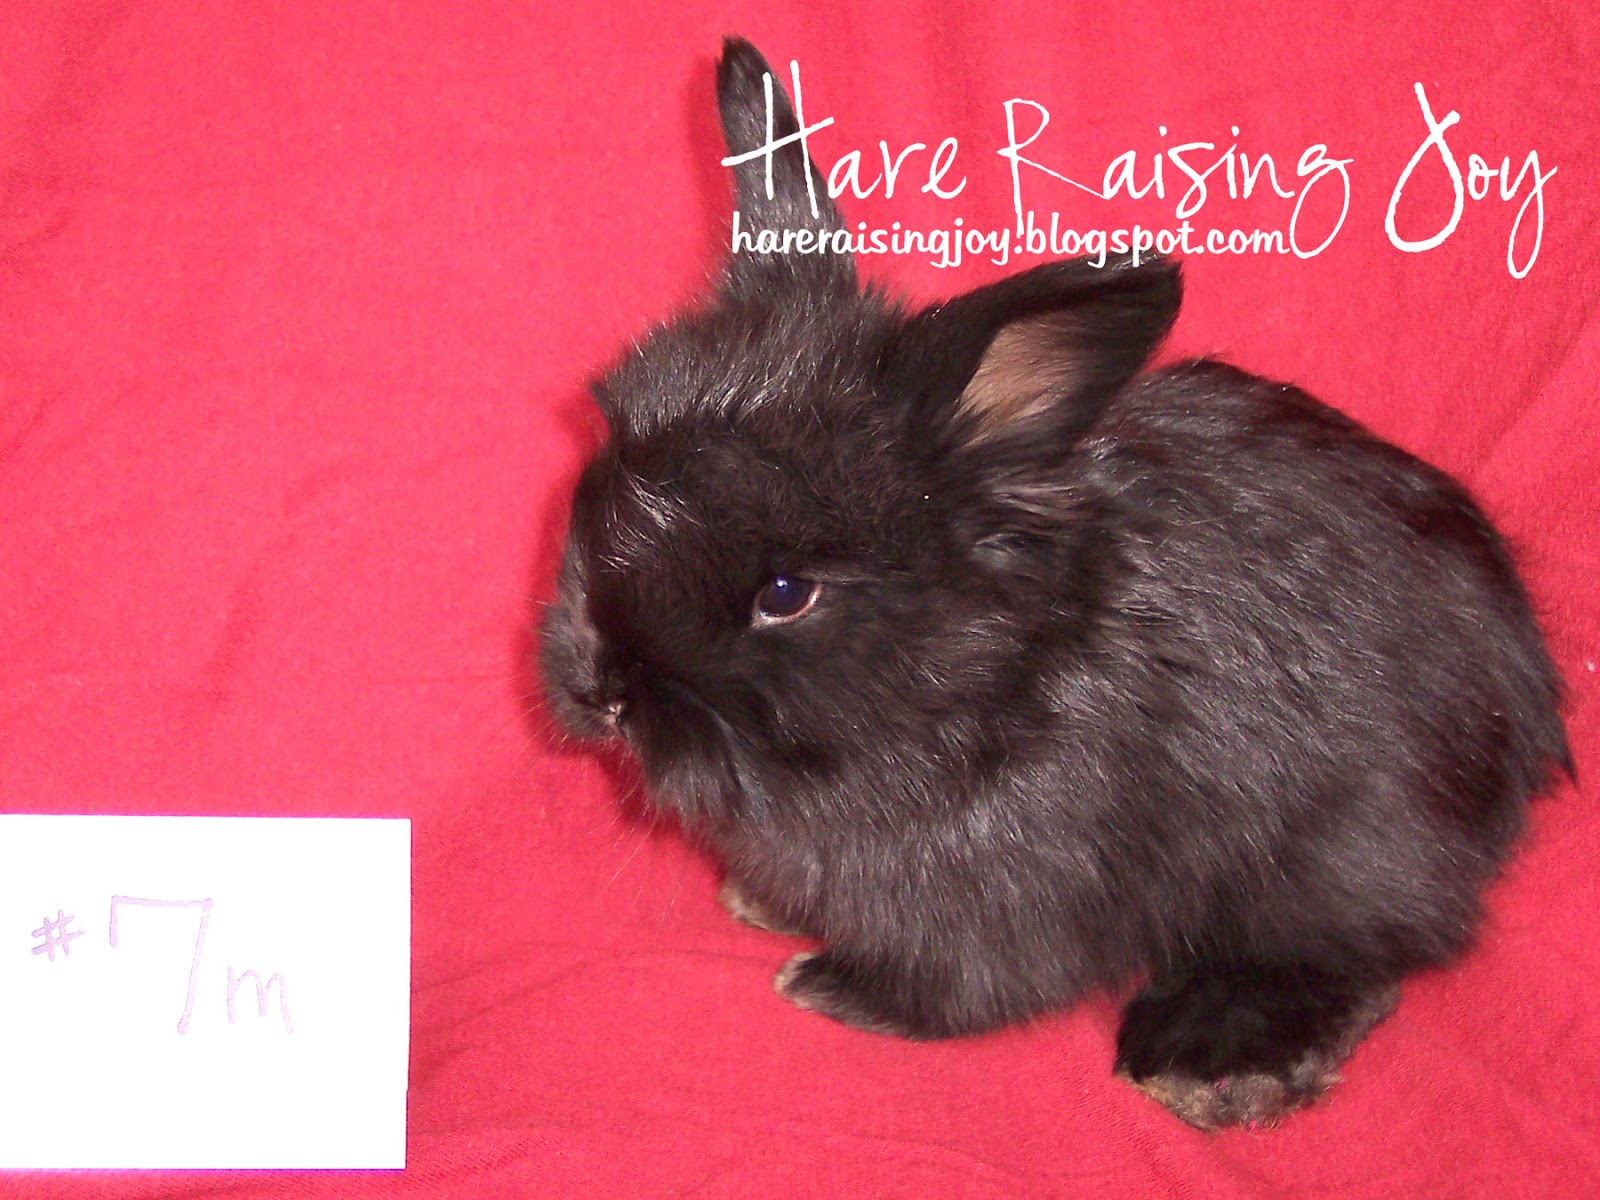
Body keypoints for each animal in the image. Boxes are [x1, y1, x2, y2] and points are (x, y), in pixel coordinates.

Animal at [539, 38, 1570, 1130]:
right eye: (600, 481)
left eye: (783, 592)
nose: (601, 689)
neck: (979, 683)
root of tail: (1527, 710)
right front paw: (762, 902)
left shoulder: (1005, 891)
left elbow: (963, 985)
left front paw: (830, 985)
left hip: (1340, 850)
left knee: (1366, 951)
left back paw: (1208, 1060)